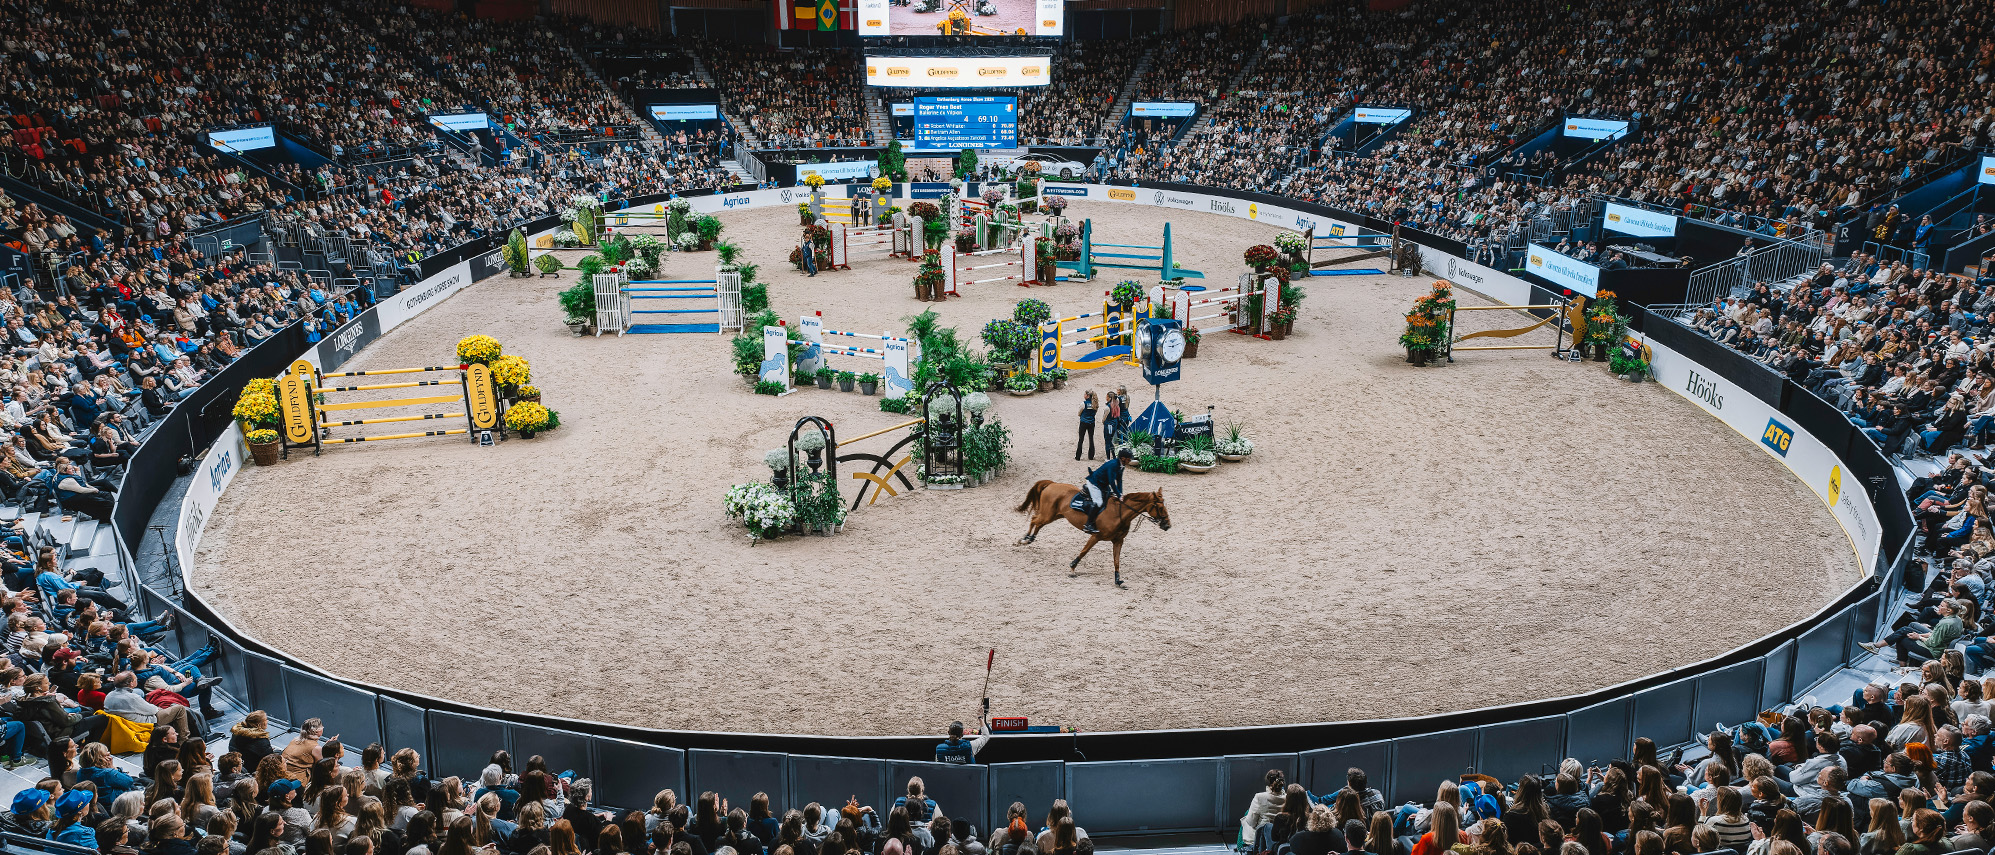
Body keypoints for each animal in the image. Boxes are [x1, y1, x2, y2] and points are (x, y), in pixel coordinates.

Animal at [1013, 480, 1165, 585]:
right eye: (1161, 508)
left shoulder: (1118, 541)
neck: (1119, 513)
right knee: (1034, 520)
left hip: (1055, 515)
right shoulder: (1096, 536)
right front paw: (1072, 568)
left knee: (1037, 522)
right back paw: (1024, 539)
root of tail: (1053, 484)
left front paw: (1118, 580)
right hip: (1049, 515)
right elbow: (1084, 551)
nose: (1167, 525)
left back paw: (1029, 538)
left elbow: (1116, 561)